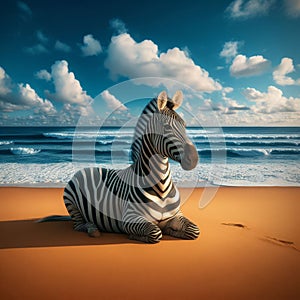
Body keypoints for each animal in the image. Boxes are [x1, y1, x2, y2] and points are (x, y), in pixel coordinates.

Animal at [40, 91, 199, 244]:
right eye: (166, 126)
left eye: (184, 125)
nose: (194, 159)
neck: (162, 187)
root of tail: (85, 169)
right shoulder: (129, 217)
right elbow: (155, 232)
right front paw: (135, 236)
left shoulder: (176, 215)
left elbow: (194, 230)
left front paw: (172, 230)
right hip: (71, 200)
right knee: (79, 225)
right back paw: (93, 228)